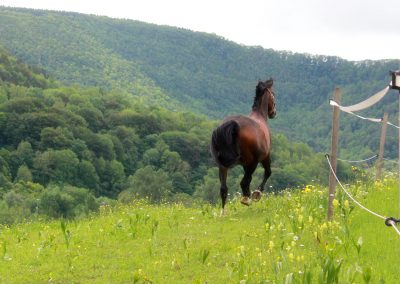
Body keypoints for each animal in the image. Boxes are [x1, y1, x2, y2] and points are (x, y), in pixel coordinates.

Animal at [211, 77, 276, 213]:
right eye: (273, 94)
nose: (274, 112)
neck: (260, 116)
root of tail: (233, 124)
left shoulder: (245, 165)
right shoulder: (265, 157)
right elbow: (268, 172)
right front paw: (257, 193)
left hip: (223, 165)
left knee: (224, 188)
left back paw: (223, 212)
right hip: (253, 162)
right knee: (244, 182)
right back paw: (247, 200)